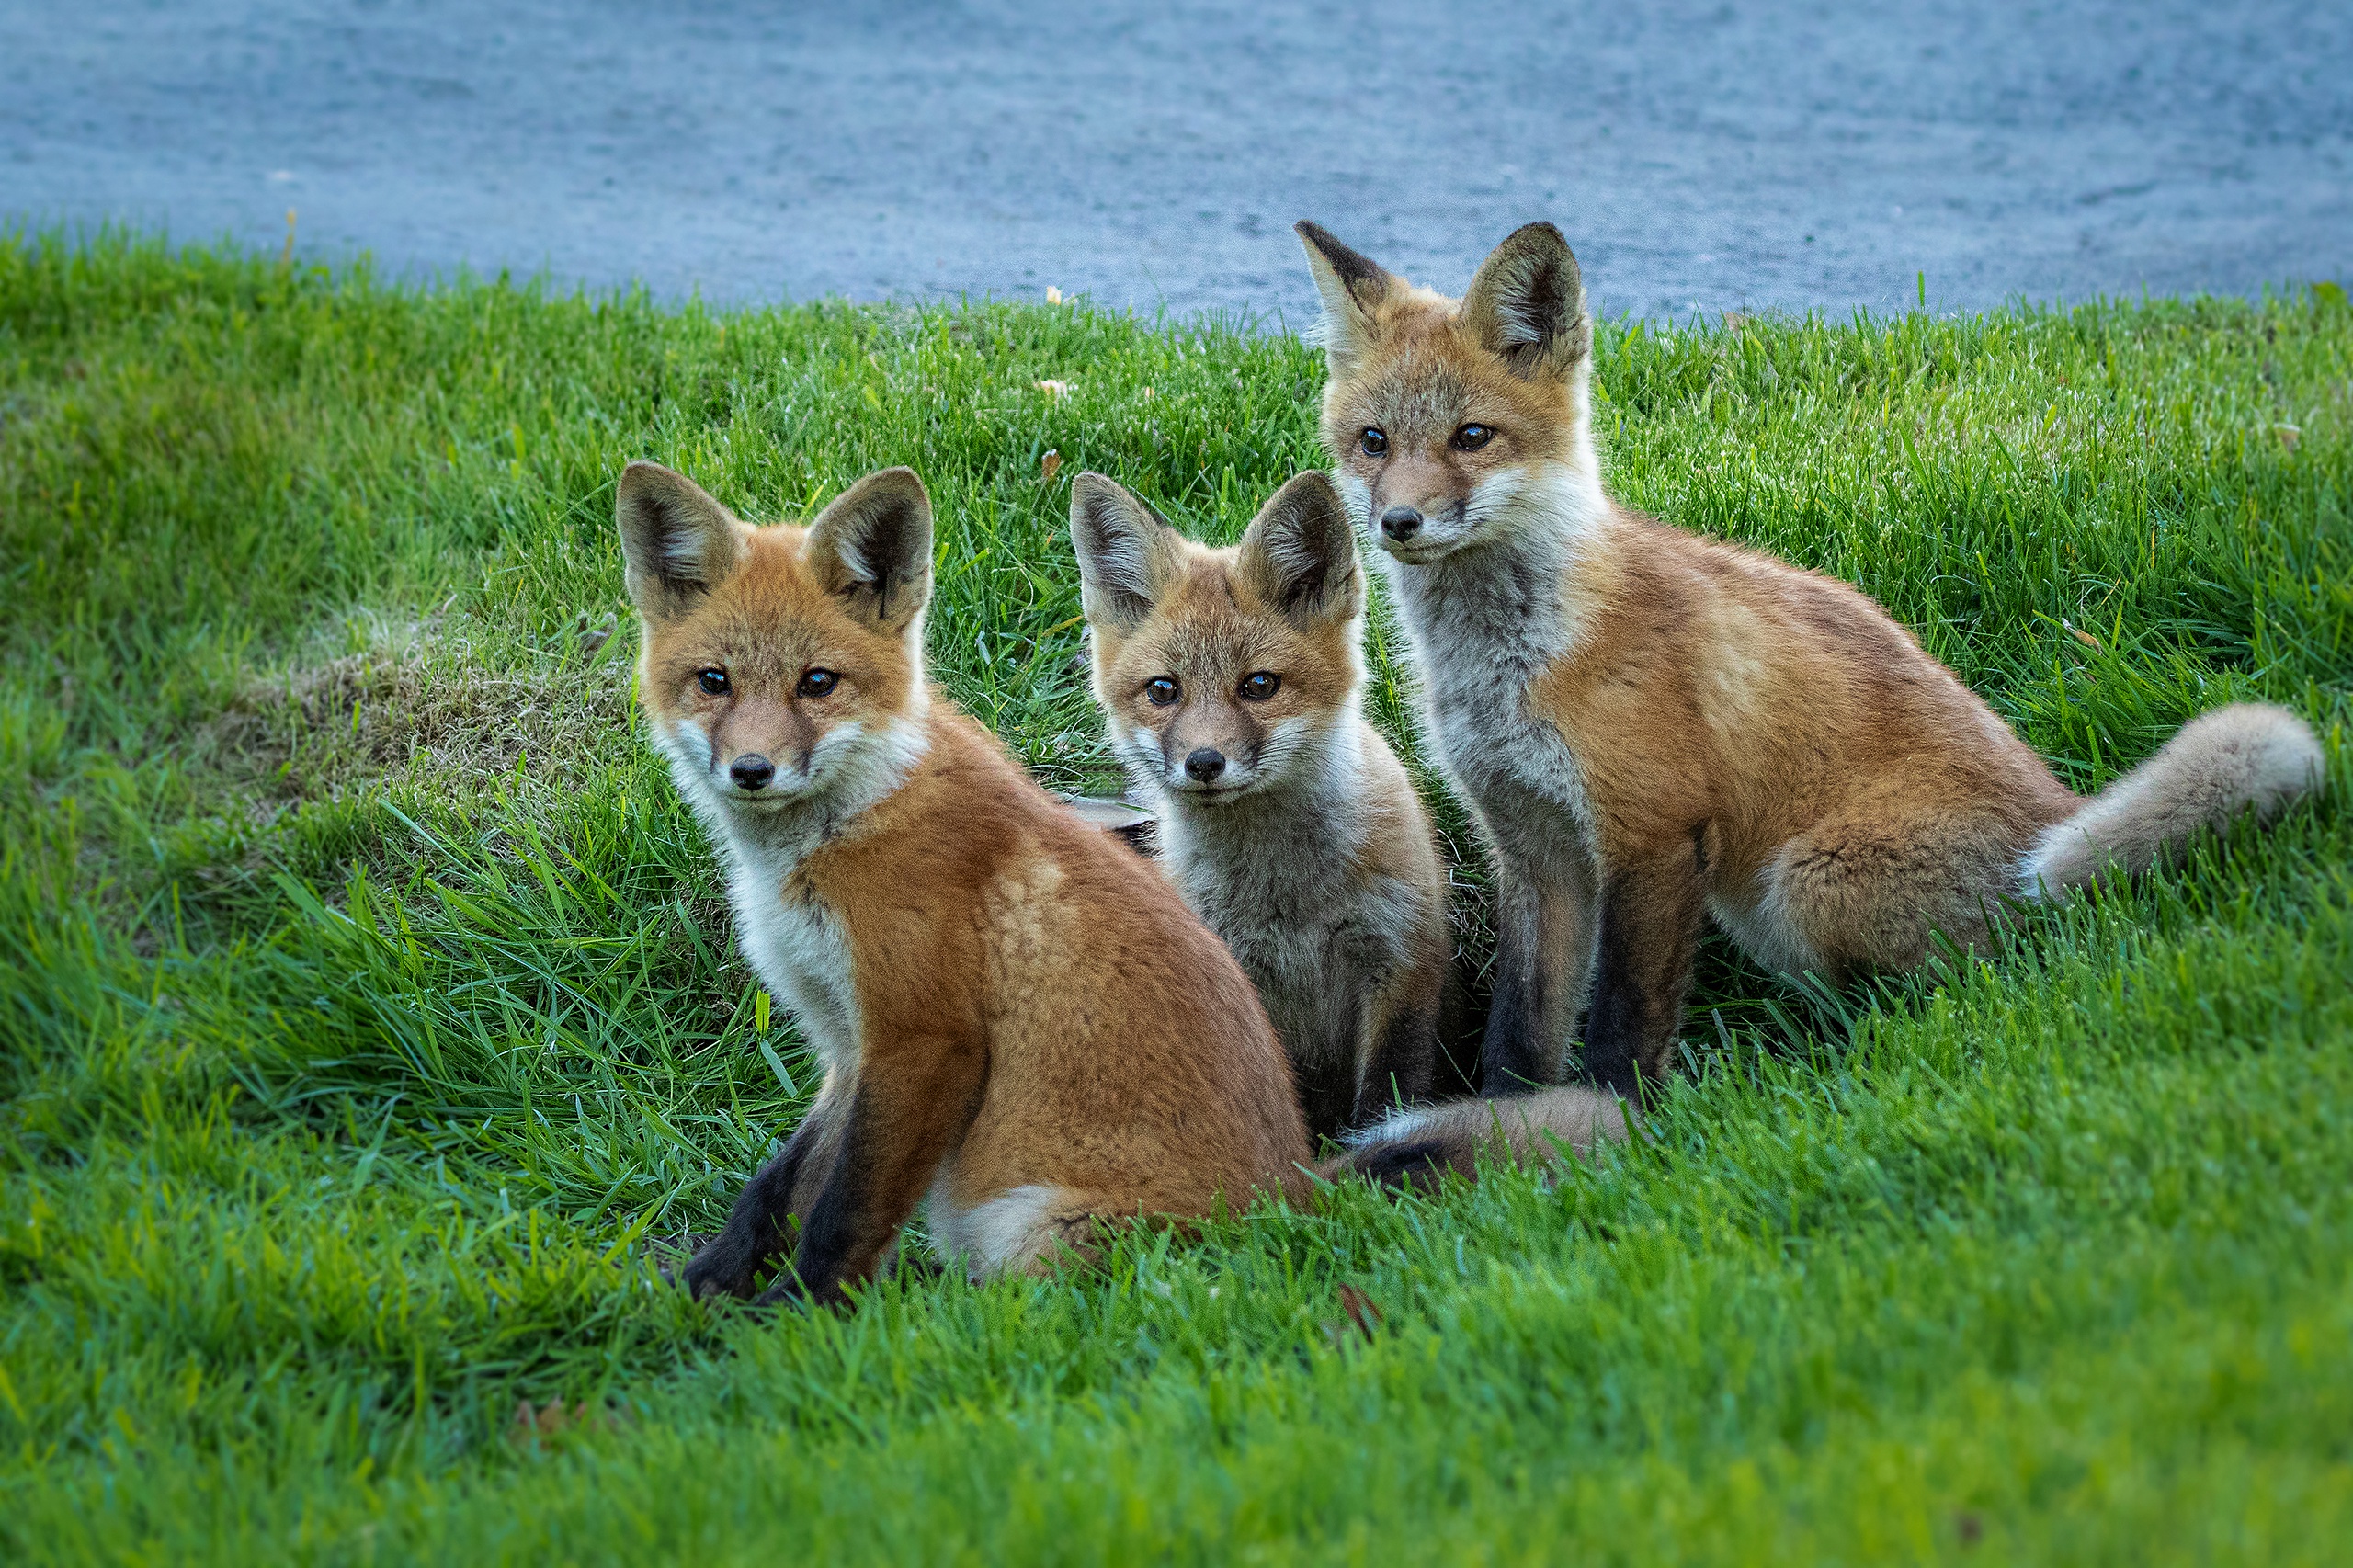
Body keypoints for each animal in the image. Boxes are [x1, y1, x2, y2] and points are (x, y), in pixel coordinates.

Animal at [616, 459, 1317, 1299]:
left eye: (817, 682)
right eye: (714, 681)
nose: (752, 771)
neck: (844, 827)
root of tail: (1302, 1214)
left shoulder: (924, 1039)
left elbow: (846, 1210)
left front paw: (796, 1313)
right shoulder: (848, 1043)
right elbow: (779, 1187)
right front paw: (707, 1288)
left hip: (1029, 1228)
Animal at [1068, 463, 1449, 1134]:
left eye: (1259, 685)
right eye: (1163, 690)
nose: (1204, 762)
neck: (1286, 902)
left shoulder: (1400, 964)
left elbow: (1387, 1095)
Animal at [1299, 216, 2325, 1096]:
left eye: (1472, 437)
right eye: (1373, 442)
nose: (1398, 521)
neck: (1513, 664)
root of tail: (2058, 816)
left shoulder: (1654, 833)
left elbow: (1624, 1025)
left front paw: (1611, 1129)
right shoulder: (1534, 849)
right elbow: (1520, 1031)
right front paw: (1504, 1130)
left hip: (1804, 884)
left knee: (1944, 996)